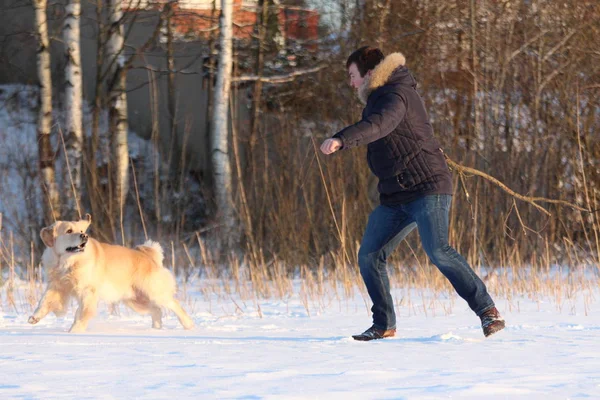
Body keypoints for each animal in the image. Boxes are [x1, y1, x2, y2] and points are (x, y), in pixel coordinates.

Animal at [28, 214, 193, 332]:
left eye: (81, 231)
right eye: (69, 231)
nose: (84, 236)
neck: (67, 262)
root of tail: (149, 256)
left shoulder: (87, 292)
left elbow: (82, 313)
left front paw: (74, 331)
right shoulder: (57, 286)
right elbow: (44, 302)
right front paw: (34, 318)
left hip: (154, 292)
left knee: (175, 306)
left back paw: (189, 326)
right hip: (135, 299)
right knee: (156, 310)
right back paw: (156, 329)